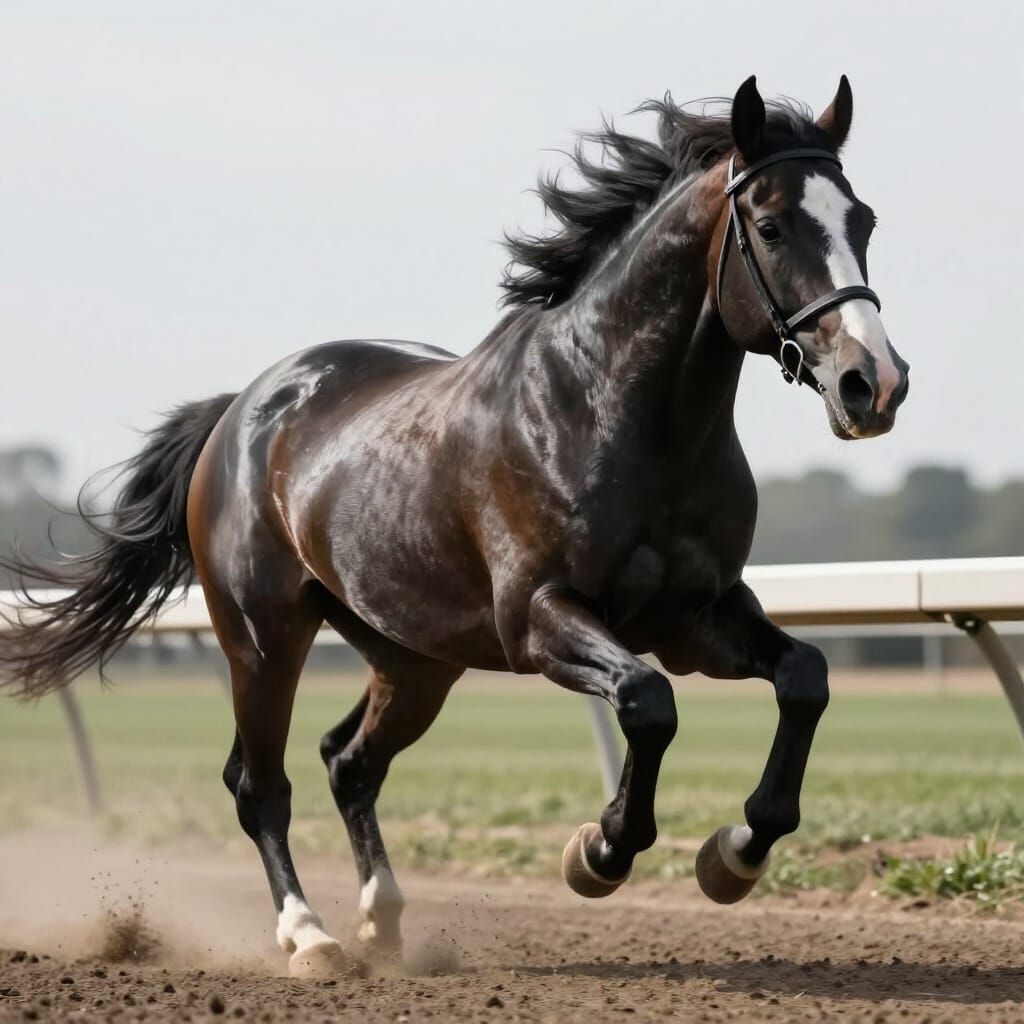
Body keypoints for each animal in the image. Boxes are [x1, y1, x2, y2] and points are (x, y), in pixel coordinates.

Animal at [1, 75, 909, 977]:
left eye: (863, 220)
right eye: (772, 224)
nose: (874, 383)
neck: (620, 418)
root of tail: (240, 412)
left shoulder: (698, 618)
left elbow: (804, 678)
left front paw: (736, 853)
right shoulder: (541, 619)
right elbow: (648, 703)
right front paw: (600, 852)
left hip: (414, 658)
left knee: (349, 764)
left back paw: (383, 920)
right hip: (263, 640)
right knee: (261, 786)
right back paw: (311, 937)